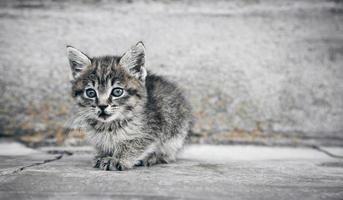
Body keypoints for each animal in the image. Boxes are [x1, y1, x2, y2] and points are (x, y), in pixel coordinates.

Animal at [66, 41, 192, 170]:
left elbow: (134, 144)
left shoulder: (154, 127)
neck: (109, 125)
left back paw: (154, 157)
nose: (102, 106)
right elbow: (102, 145)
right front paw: (102, 155)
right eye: (90, 93)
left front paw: (117, 158)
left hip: (176, 129)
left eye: (117, 91)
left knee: (169, 154)